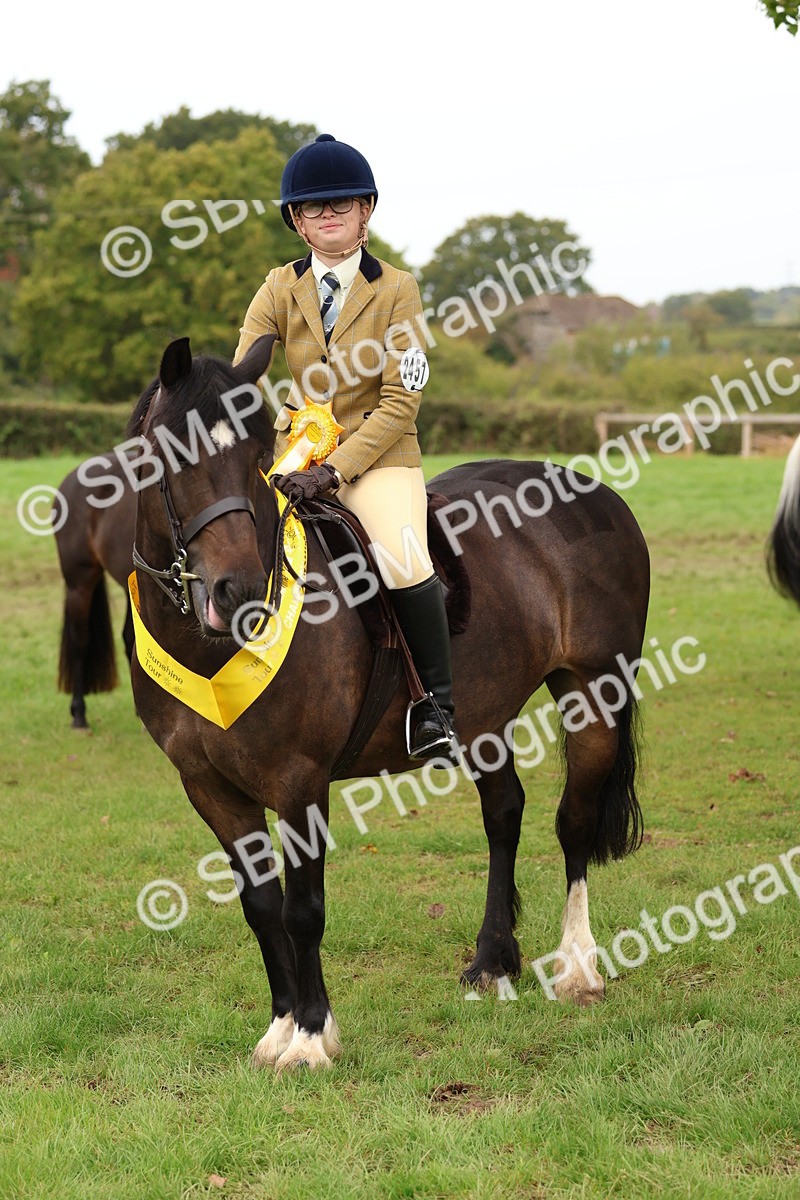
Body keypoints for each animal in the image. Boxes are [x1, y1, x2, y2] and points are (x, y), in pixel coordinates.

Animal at [128, 335, 650, 1071]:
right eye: (172, 454)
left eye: (259, 454)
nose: (241, 593)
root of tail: (595, 491)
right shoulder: (208, 786)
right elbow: (261, 905)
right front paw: (278, 1029)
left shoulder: (299, 781)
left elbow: (303, 907)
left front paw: (311, 1037)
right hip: (484, 716)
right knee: (504, 813)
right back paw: (492, 960)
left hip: (594, 690)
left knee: (573, 822)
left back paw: (578, 969)